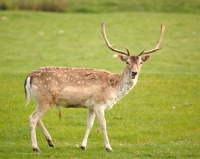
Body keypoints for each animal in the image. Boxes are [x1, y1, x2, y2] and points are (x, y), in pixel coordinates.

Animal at [24, 21, 165, 152]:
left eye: (140, 62)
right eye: (127, 62)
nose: (134, 72)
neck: (114, 88)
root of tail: (29, 76)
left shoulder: (91, 106)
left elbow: (89, 124)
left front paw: (83, 146)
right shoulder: (99, 104)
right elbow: (103, 124)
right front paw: (109, 147)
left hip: (41, 99)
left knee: (38, 118)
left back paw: (50, 142)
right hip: (46, 99)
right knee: (32, 118)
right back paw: (36, 147)